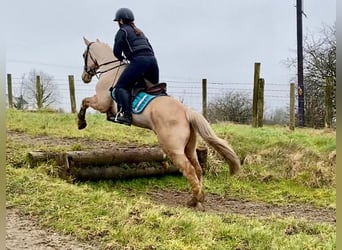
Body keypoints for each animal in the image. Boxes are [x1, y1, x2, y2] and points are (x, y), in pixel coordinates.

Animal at [78, 37, 239, 209]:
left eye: (84, 55)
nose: (84, 77)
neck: (110, 70)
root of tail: (186, 111)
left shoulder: (101, 103)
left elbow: (85, 101)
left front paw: (81, 123)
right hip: (189, 148)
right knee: (197, 169)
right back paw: (199, 198)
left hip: (173, 148)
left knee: (189, 170)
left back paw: (193, 200)